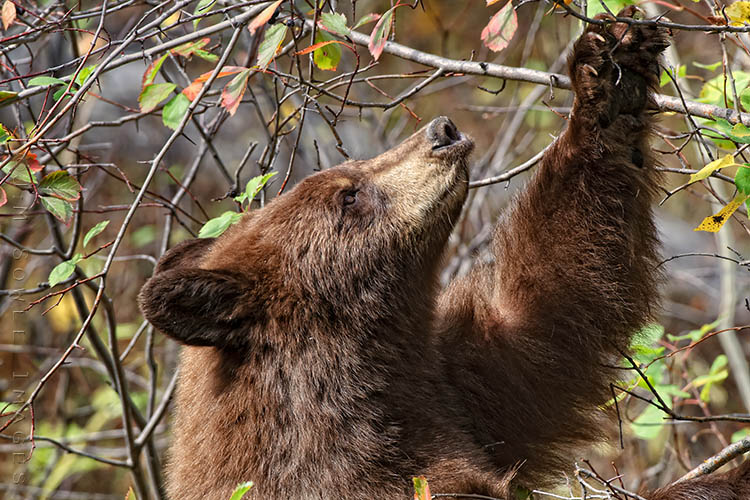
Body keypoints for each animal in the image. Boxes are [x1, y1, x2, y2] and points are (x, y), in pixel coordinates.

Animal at [139, 8, 749, 500]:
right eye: (348, 193)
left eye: (349, 169)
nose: (443, 130)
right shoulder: (343, 473)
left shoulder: (448, 385)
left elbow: (545, 312)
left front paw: (610, 72)